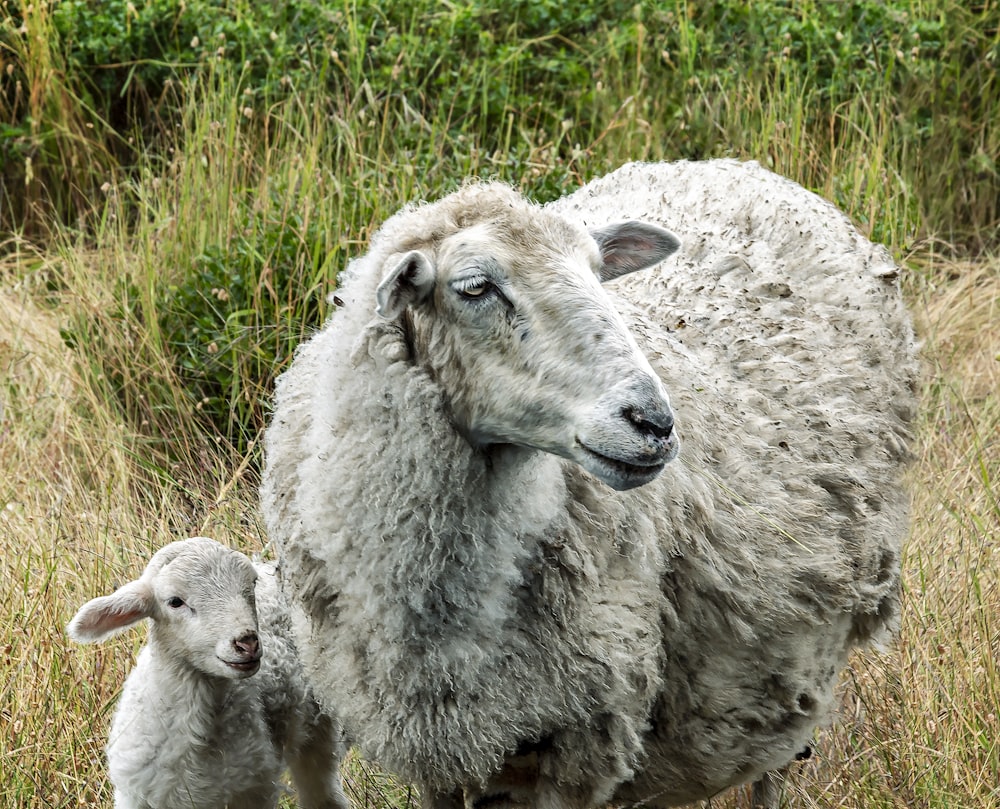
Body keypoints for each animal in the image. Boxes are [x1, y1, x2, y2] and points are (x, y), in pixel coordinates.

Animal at [67, 536, 352, 808]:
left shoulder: (253, 787)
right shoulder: (136, 794)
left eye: (251, 584)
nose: (247, 643)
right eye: (175, 602)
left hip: (318, 727)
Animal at [262, 159, 916, 808]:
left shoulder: (577, 742)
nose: (655, 423)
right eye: (475, 287)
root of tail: (748, 168)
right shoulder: (431, 752)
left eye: (599, 272)